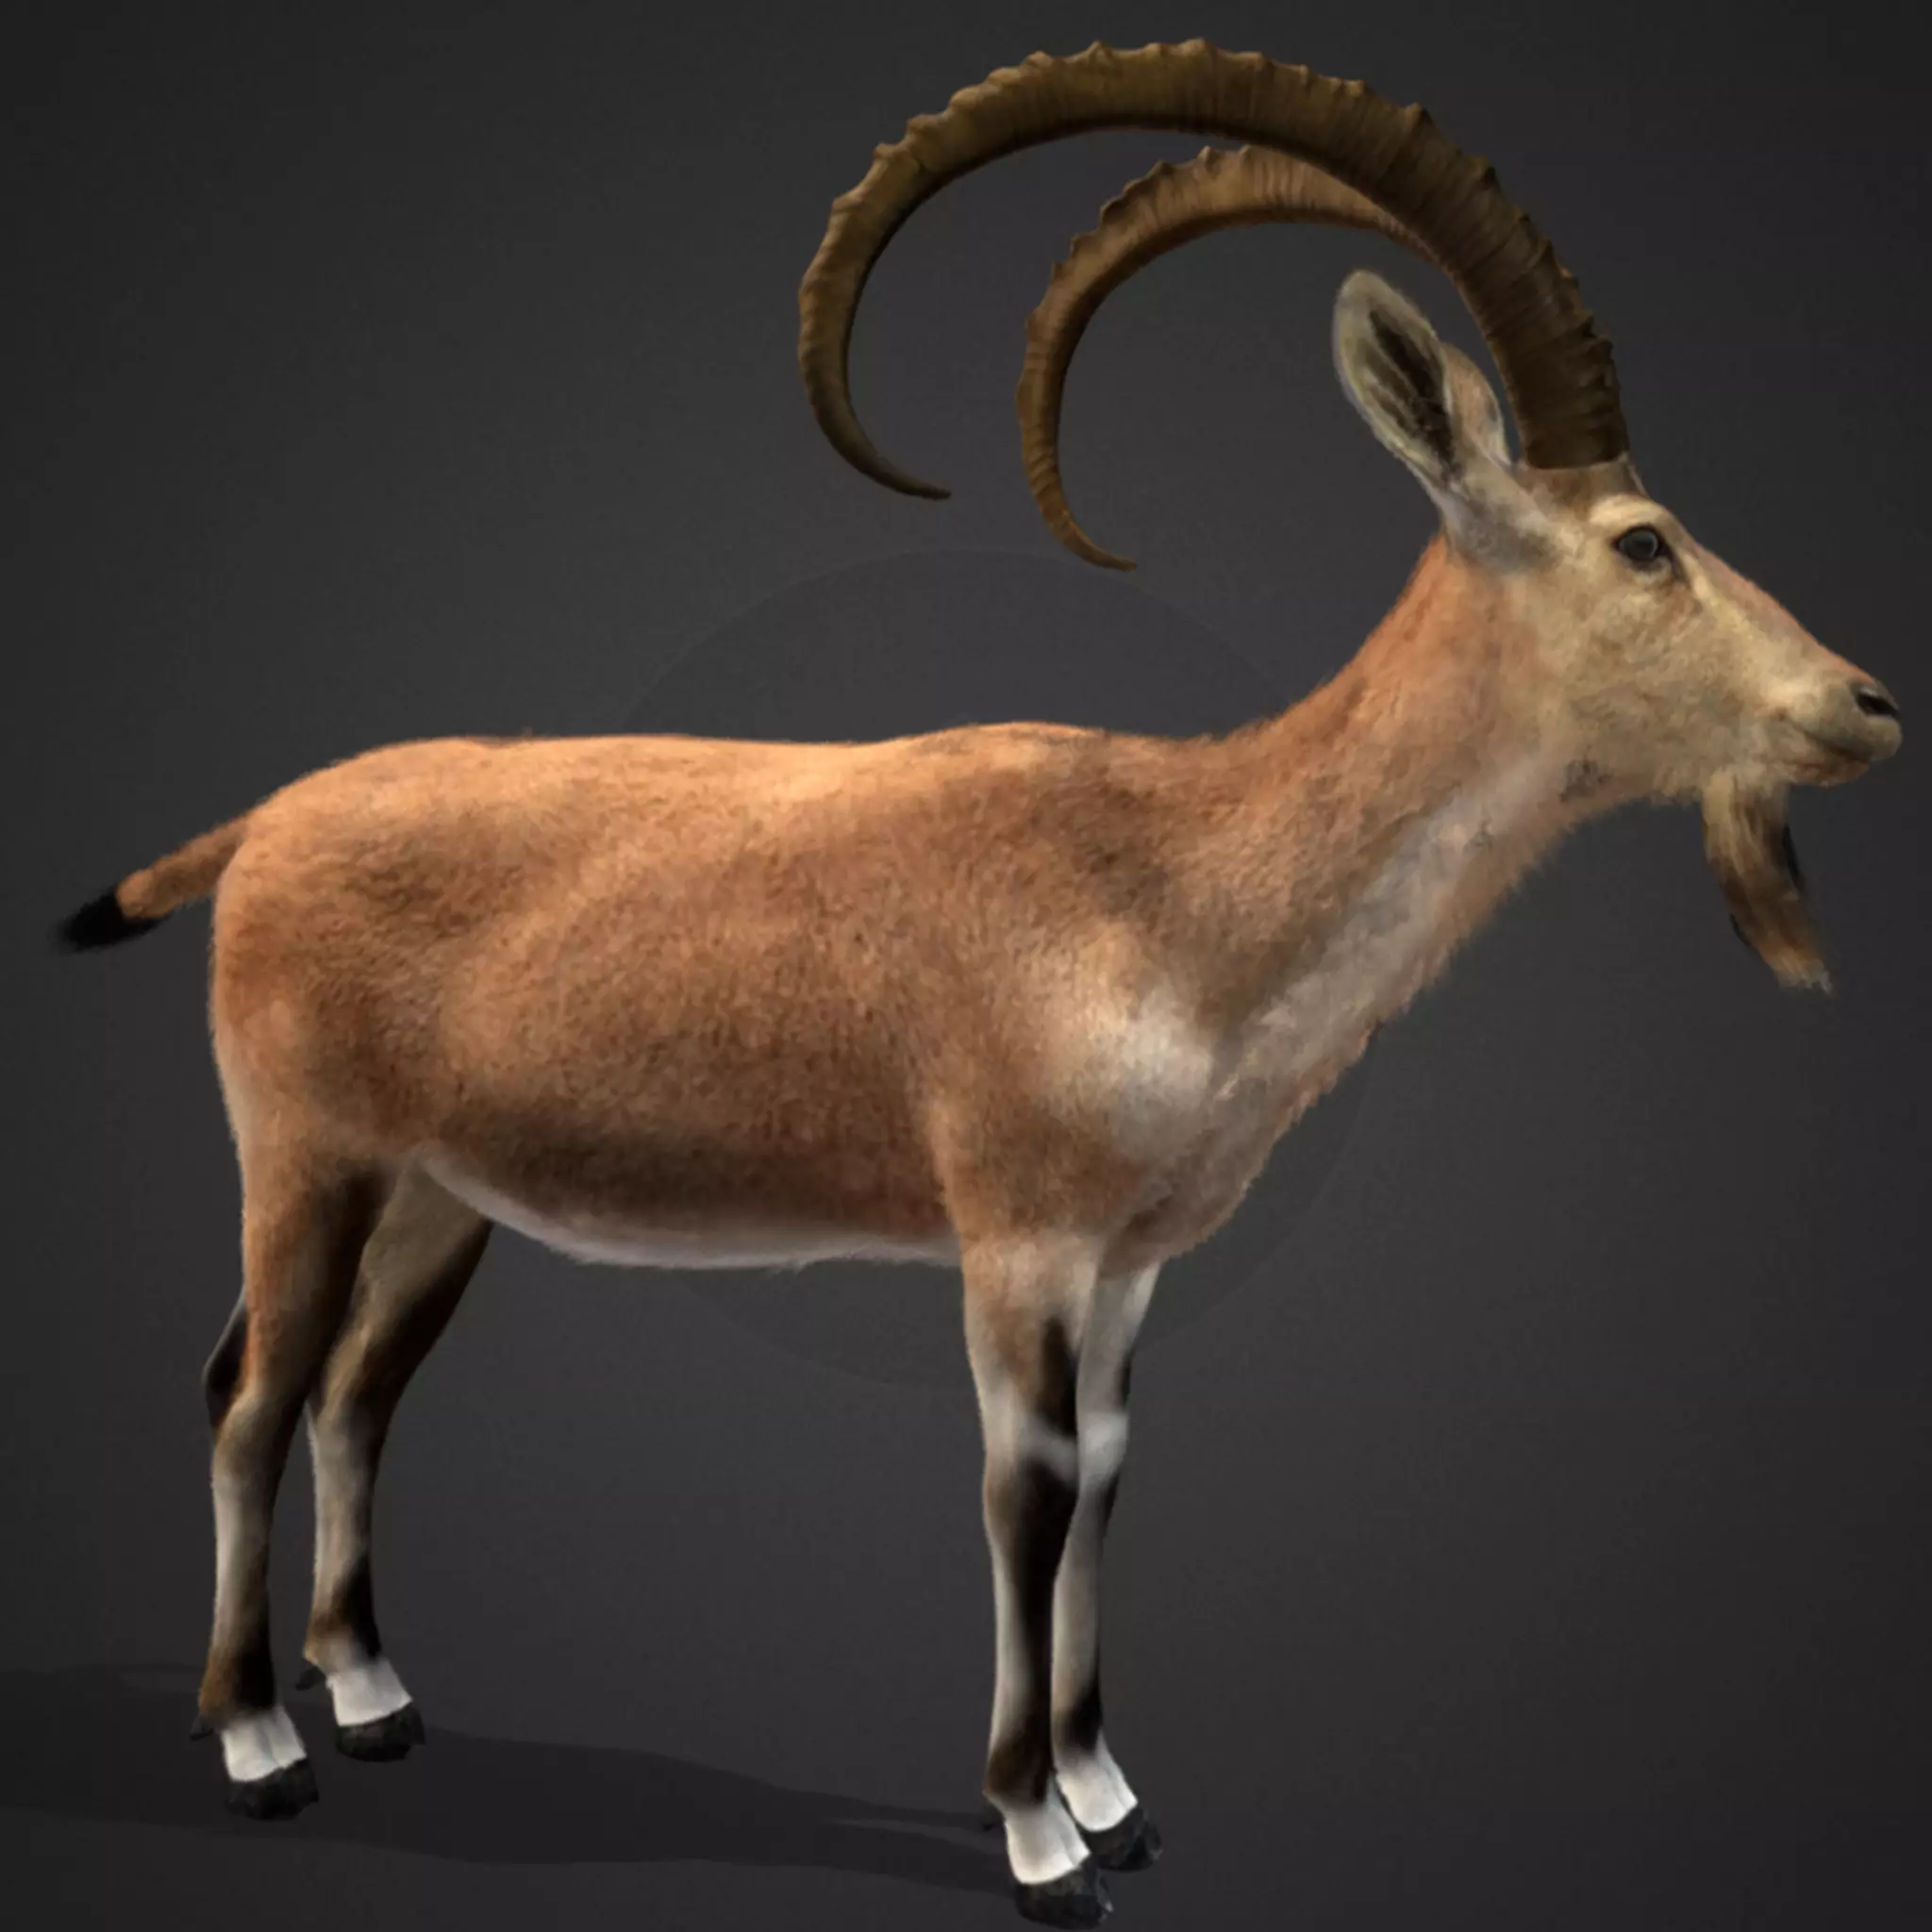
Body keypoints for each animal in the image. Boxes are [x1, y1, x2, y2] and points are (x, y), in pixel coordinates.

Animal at [59, 40, 1898, 1929]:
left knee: (353, 1389)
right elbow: (1028, 1493)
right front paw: (1037, 1840)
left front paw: (1112, 1793)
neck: (1172, 879)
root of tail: (259, 828)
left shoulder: (1130, 1264)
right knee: (250, 1393)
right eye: (1643, 540)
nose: (1863, 705)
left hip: (435, 1194)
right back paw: (259, 1745)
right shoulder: (1016, 1240)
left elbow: (1108, 1481)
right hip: (307, 1158)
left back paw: (371, 1699)